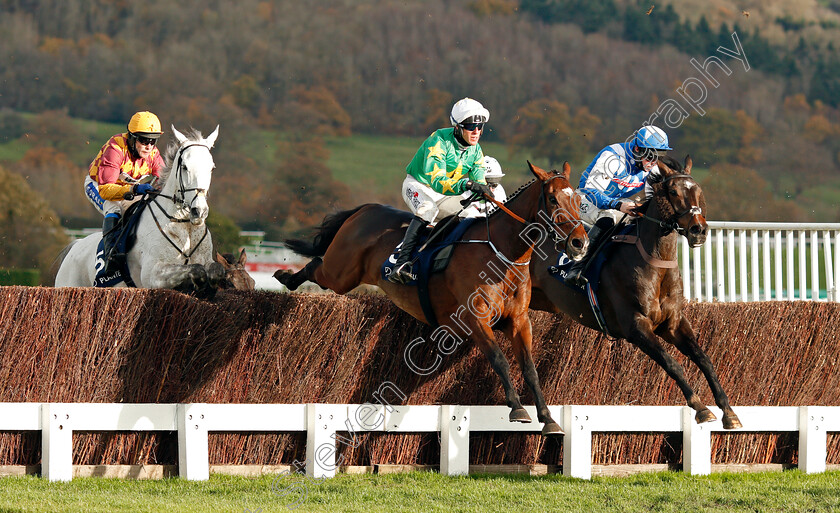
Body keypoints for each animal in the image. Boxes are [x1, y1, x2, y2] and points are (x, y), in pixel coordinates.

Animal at [55, 125, 226, 298]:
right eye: (185, 167)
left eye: (211, 168)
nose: (199, 211)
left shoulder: (207, 260)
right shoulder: (153, 275)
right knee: (111, 208)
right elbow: (197, 270)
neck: (184, 226)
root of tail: (76, 245)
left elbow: (216, 270)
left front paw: (208, 288)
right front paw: (199, 285)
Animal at [278, 162, 588, 434]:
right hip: (341, 274)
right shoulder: (474, 318)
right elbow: (499, 359)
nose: (579, 243)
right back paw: (285, 277)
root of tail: (366, 208)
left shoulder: (519, 321)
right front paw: (517, 408)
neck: (502, 252)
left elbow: (530, 368)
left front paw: (548, 418)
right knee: (316, 264)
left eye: (579, 199)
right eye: (552, 199)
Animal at [532, 155, 740, 428]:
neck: (656, 263)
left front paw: (729, 411)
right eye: (673, 192)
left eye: (698, 191)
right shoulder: (636, 326)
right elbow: (673, 364)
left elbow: (704, 359)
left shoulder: (673, 323)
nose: (699, 230)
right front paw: (700, 406)